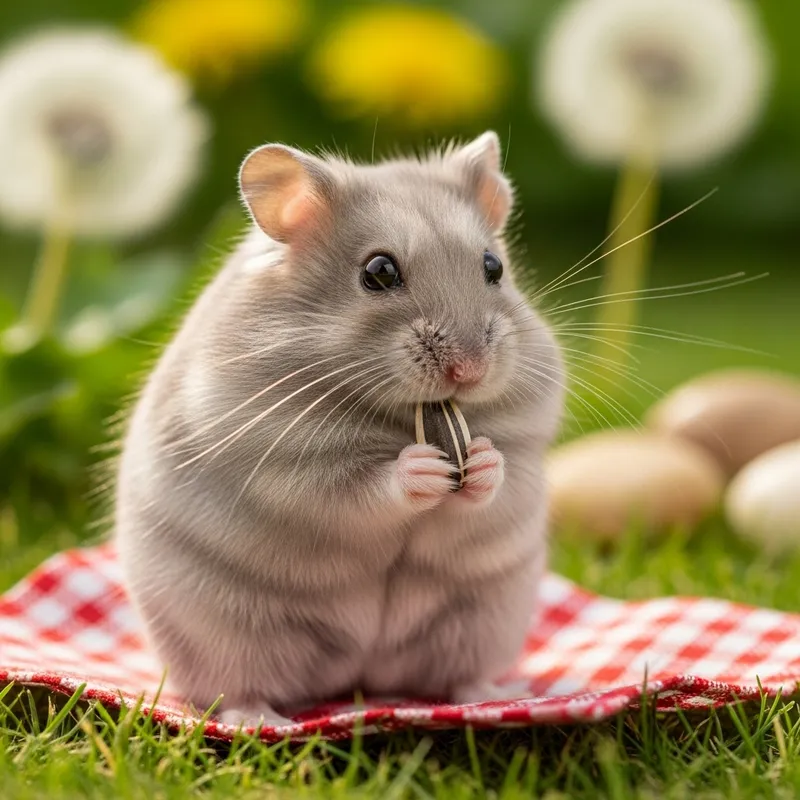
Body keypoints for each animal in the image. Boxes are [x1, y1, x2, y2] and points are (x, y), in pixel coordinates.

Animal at [114, 131, 565, 727]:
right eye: (379, 272)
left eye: (493, 267)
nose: (469, 370)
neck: (404, 416)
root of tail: (359, 675)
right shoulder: (287, 467)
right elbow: (358, 489)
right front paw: (420, 469)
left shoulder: (527, 445)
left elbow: (501, 478)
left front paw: (483, 460)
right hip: (222, 632)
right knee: (235, 690)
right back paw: (262, 721)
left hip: (484, 618)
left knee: (458, 674)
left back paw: (493, 696)